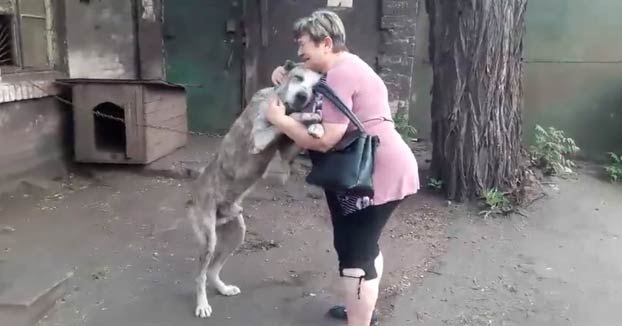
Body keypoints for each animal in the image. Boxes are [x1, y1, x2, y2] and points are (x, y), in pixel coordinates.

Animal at [186, 59, 324, 318]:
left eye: (315, 88)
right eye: (298, 77)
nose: (303, 96)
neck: (281, 101)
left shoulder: (288, 152)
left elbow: (295, 130)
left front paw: (316, 127)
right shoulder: (260, 137)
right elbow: (290, 119)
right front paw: (308, 116)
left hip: (236, 234)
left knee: (212, 270)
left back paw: (223, 288)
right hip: (209, 238)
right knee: (199, 276)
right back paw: (202, 305)